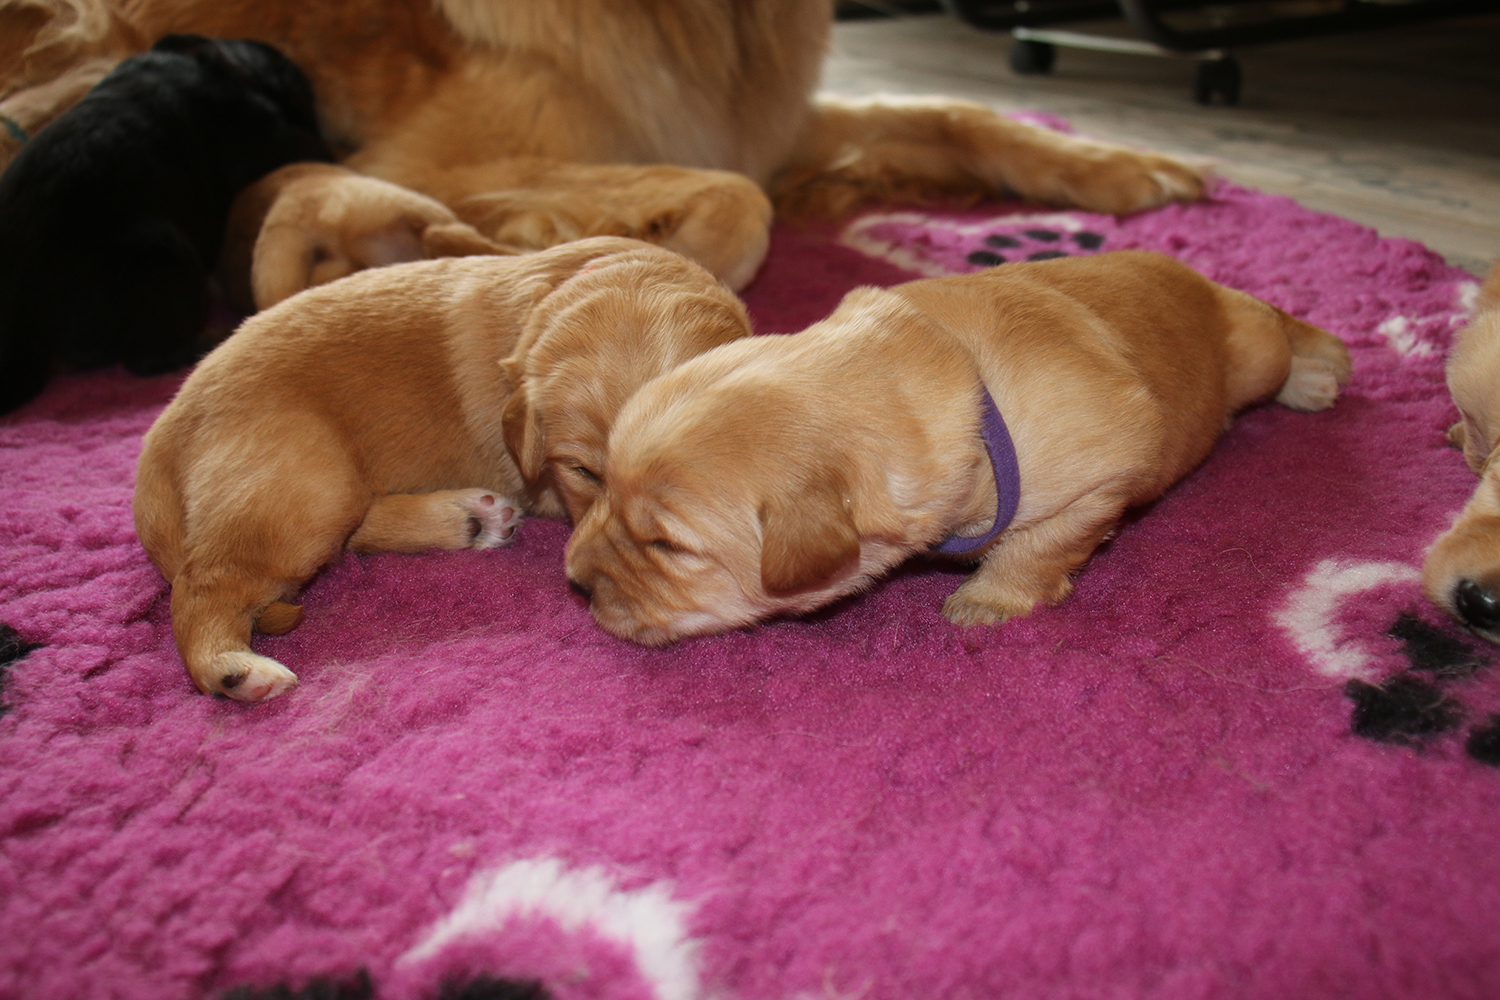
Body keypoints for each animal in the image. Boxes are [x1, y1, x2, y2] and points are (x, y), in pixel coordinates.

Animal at [134, 237, 752, 701]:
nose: (584, 581)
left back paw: (470, 519)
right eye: (583, 471)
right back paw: (233, 670)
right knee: (203, 583)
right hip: (303, 481)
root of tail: (162, 435)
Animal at [564, 251, 1353, 646]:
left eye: (669, 547)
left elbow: (1042, 546)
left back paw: (1319, 368)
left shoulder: (1104, 476)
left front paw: (987, 602)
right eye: (598, 485)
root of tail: (1191, 275)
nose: (573, 581)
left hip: (1251, 355)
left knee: (1272, 323)